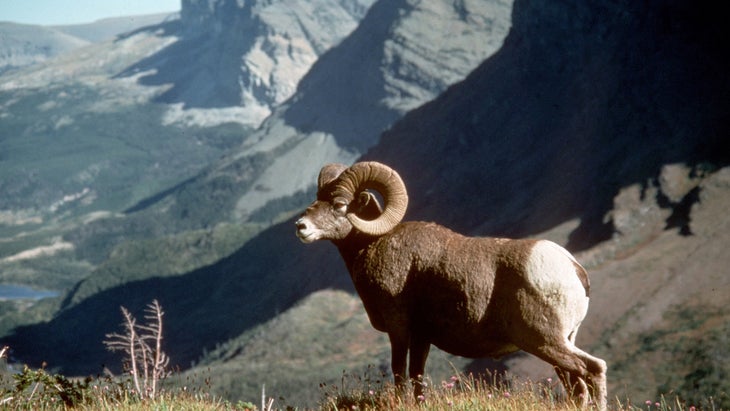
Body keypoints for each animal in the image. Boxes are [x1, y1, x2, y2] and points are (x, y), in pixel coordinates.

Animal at [292, 161, 604, 408]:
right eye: (318, 198)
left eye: (339, 205)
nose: (301, 227)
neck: (374, 245)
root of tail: (574, 270)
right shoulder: (421, 337)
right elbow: (417, 378)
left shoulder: (399, 328)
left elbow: (399, 372)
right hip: (559, 344)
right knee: (577, 385)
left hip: (545, 341)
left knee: (592, 368)